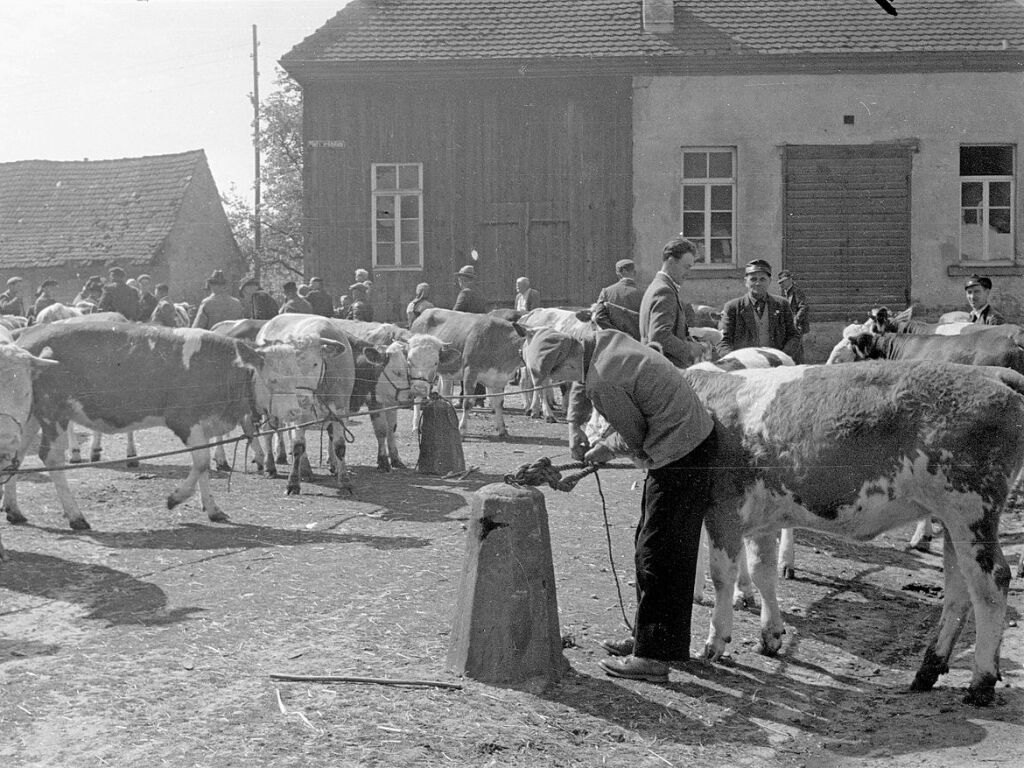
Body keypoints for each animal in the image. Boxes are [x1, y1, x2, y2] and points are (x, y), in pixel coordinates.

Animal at [0, 321, 325, 532]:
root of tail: (27, 338)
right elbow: (201, 462)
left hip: (29, 415)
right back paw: (75, 515)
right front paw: (175, 498)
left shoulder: (203, 424)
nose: (297, 409)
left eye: (297, 375)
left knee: (16, 456)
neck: (222, 370)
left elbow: (204, 467)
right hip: (54, 412)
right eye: (273, 380)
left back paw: (14, 510)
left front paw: (213, 509)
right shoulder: (184, 419)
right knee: (51, 459)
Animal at [407, 309, 524, 438]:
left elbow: (499, 403)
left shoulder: (500, 378)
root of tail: (426, 311)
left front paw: (502, 429)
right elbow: (467, 402)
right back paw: (416, 426)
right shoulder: (470, 371)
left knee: (444, 392)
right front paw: (462, 429)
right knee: (418, 397)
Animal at [679, 362, 1024, 708]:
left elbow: (722, 576)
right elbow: (763, 573)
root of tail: (993, 374)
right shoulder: (762, 518)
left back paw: (980, 683)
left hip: (969, 509)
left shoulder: (723, 509)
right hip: (954, 521)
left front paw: (715, 642)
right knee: (959, 588)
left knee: (992, 583)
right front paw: (770, 636)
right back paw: (928, 670)